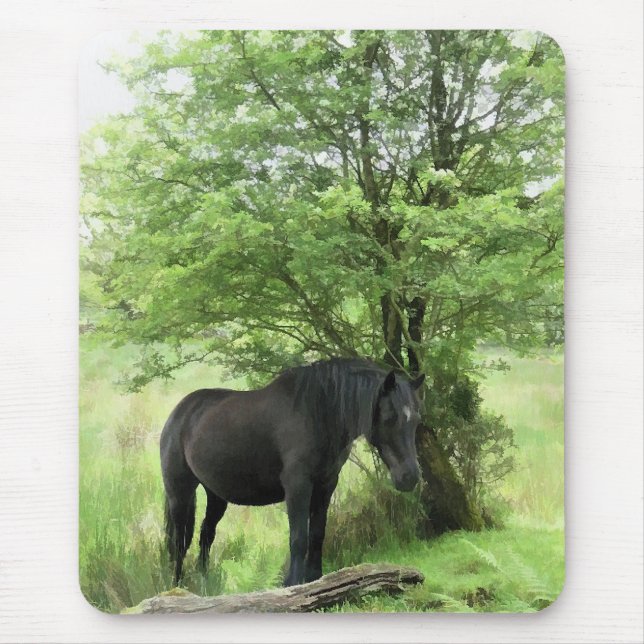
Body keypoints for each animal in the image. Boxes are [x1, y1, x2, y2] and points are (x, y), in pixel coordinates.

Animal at [160, 357, 425, 587]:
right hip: (179, 493)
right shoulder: (298, 486)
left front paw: (315, 579)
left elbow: (317, 534)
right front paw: (293, 583)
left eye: (416, 419)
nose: (410, 477)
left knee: (206, 535)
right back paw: (177, 587)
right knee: (179, 542)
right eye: (390, 417)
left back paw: (204, 584)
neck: (318, 414)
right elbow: (298, 538)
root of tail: (178, 413)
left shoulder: (326, 485)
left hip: (216, 495)